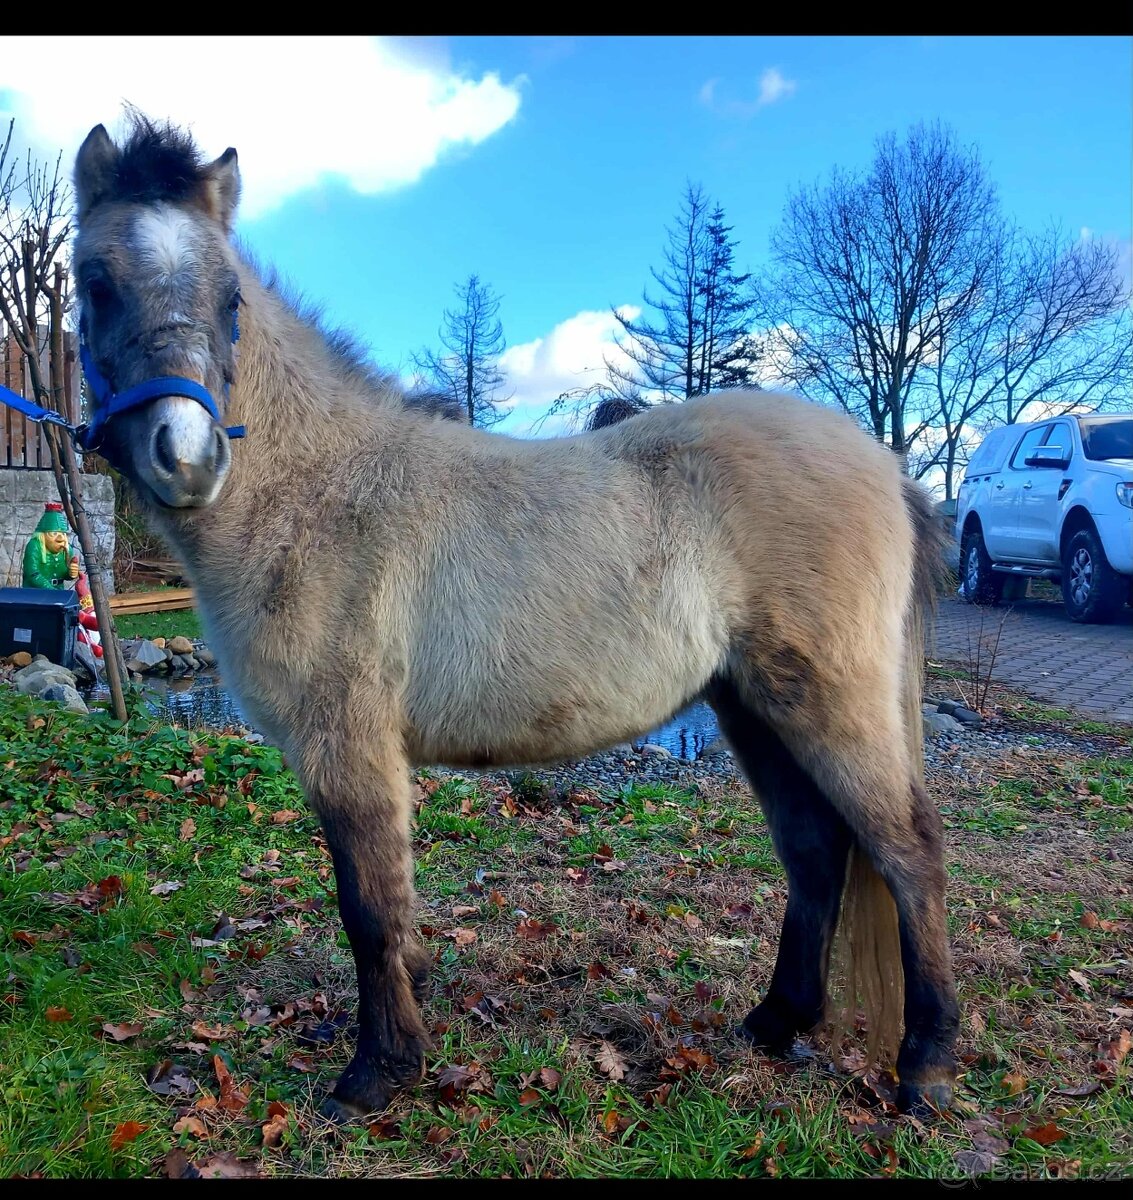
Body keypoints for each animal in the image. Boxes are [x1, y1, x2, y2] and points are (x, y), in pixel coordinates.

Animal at [71, 115, 959, 1122]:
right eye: (96, 283)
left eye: (228, 298)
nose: (185, 457)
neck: (319, 494)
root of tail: (887, 468)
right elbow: (396, 906)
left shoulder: (346, 745)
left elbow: (366, 908)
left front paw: (377, 1072)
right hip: (751, 705)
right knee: (814, 852)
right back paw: (776, 1023)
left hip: (829, 703)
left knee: (907, 852)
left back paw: (923, 1069)